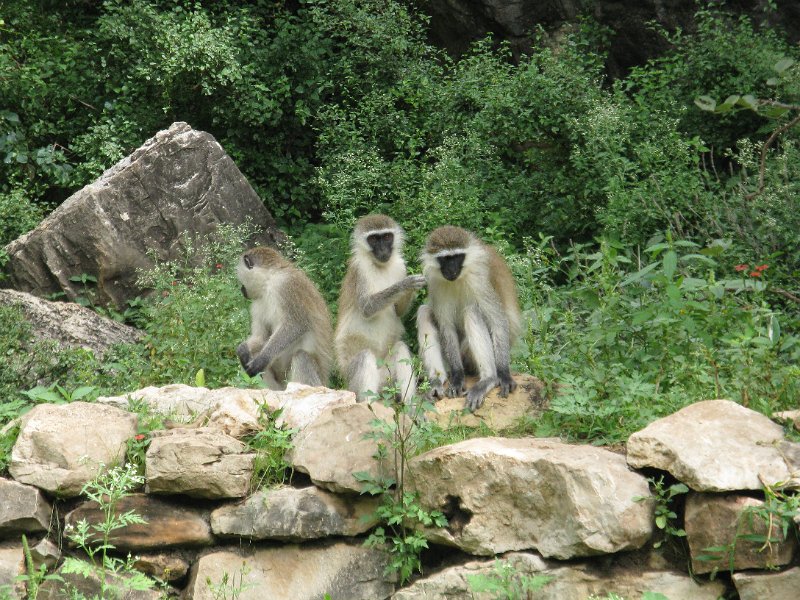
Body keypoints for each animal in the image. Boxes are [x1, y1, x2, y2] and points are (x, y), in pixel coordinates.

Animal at [236, 246, 333, 389]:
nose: (241, 289)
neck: (270, 280)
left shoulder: (287, 285)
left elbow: (296, 326)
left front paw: (262, 359)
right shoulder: (258, 303)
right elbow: (261, 337)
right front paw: (242, 349)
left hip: (316, 379)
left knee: (301, 357)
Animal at [335, 214, 426, 405]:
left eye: (387, 237)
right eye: (374, 239)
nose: (383, 249)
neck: (379, 265)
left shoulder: (400, 265)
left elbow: (398, 311)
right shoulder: (359, 268)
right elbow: (366, 308)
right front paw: (406, 284)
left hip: (388, 378)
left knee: (400, 348)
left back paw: (411, 406)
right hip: (352, 381)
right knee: (365, 358)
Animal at [416, 226, 521, 412]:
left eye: (457, 257)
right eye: (445, 259)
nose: (451, 270)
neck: (460, 276)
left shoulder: (480, 280)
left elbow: (498, 322)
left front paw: (504, 374)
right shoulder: (435, 282)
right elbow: (447, 327)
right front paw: (458, 378)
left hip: (468, 354)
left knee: (473, 311)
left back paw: (488, 379)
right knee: (424, 312)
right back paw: (437, 381)